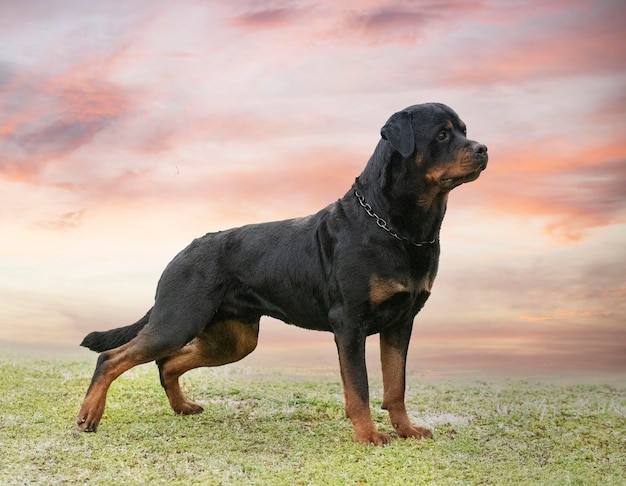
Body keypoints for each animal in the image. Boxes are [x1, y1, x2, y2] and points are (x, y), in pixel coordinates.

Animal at [78, 102, 486, 444]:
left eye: (465, 130)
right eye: (443, 135)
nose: (483, 149)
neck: (396, 225)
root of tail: (183, 252)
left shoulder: (401, 322)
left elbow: (395, 384)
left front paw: (406, 430)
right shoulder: (349, 323)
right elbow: (360, 388)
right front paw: (369, 435)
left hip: (233, 339)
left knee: (167, 362)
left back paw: (182, 407)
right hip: (179, 319)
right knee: (112, 358)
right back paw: (89, 416)